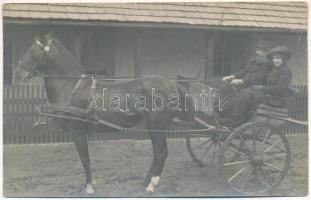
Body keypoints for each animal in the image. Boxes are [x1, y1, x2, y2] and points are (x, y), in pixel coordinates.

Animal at [15, 34, 195, 194]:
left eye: (33, 52)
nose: (17, 73)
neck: (72, 86)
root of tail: (173, 84)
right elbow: (86, 158)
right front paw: (91, 183)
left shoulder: (77, 131)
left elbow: (84, 158)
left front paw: (89, 187)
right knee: (157, 154)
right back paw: (145, 182)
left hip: (157, 126)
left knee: (161, 152)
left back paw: (151, 185)